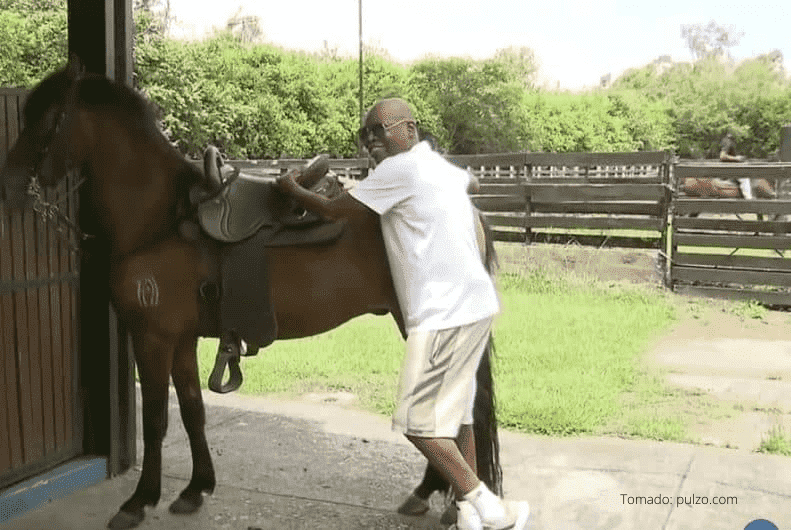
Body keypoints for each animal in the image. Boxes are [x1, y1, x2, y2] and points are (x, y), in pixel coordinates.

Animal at [1, 55, 502, 524]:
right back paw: (429, 493)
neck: (161, 219)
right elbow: (192, 410)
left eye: (49, 118)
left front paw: (139, 501)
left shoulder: (152, 337)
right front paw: (195, 489)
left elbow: (157, 418)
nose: (8, 187)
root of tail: (468, 209)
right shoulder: (180, 339)